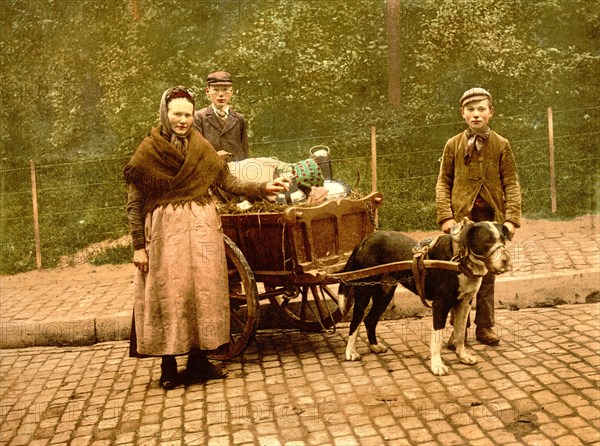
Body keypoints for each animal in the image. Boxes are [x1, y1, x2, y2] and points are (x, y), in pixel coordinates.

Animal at [340, 220, 508, 376]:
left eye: (503, 240)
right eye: (487, 241)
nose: (506, 261)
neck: (460, 260)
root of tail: (365, 239)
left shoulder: (465, 302)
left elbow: (460, 333)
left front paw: (462, 356)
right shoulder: (440, 304)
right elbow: (437, 338)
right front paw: (437, 365)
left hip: (385, 294)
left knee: (370, 320)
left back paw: (374, 346)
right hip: (363, 291)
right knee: (356, 321)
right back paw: (350, 352)